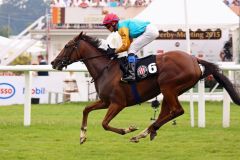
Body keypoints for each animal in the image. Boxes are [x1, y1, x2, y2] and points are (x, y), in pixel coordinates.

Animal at [50, 32, 240, 144]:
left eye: (67, 46)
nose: (53, 62)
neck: (106, 69)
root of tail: (194, 59)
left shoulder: (118, 103)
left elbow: (104, 123)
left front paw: (127, 129)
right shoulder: (105, 101)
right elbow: (86, 109)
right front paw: (82, 136)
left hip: (168, 86)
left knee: (177, 111)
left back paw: (144, 131)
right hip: (169, 91)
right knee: (167, 112)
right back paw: (146, 132)